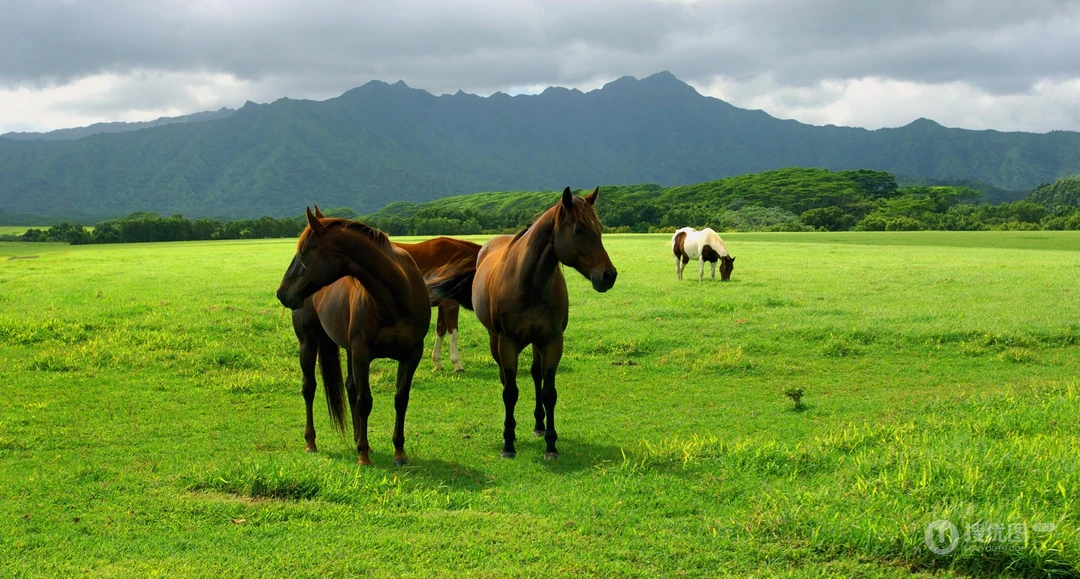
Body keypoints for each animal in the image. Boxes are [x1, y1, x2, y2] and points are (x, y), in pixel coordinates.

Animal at [276, 208, 431, 466]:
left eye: (304, 253)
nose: (281, 294)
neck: (396, 297)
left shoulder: (412, 354)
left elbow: (401, 399)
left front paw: (398, 452)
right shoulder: (362, 353)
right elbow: (364, 401)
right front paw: (363, 456)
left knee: (349, 387)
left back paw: (359, 438)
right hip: (308, 343)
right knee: (309, 388)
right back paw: (312, 442)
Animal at [309, 208, 481, 373]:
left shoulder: (442, 303)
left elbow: (440, 330)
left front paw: (437, 363)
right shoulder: (450, 304)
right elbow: (453, 332)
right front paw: (457, 364)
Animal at [429, 187, 617, 460]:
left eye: (600, 228)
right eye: (579, 230)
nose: (608, 275)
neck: (530, 284)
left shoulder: (552, 341)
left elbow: (549, 392)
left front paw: (551, 444)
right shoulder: (507, 343)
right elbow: (510, 392)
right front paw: (508, 443)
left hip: (537, 343)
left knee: (536, 375)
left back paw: (539, 425)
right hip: (495, 340)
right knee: (505, 380)